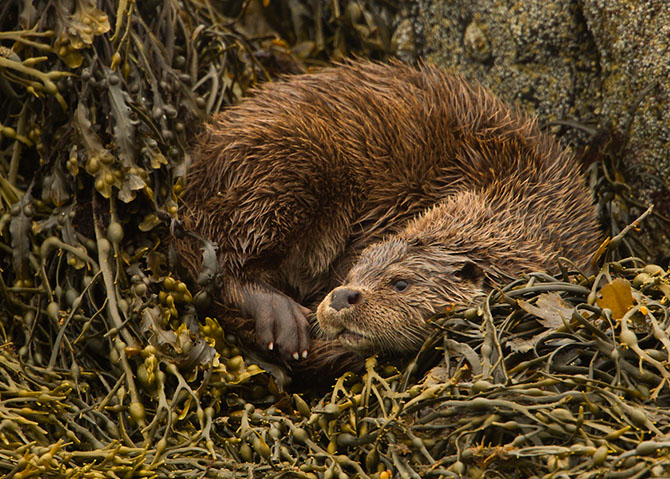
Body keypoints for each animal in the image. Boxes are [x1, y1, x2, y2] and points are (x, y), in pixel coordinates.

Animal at [177, 60, 600, 368]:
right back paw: (281, 317)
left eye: (400, 283)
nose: (342, 295)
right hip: (288, 166)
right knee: (225, 258)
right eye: (352, 274)